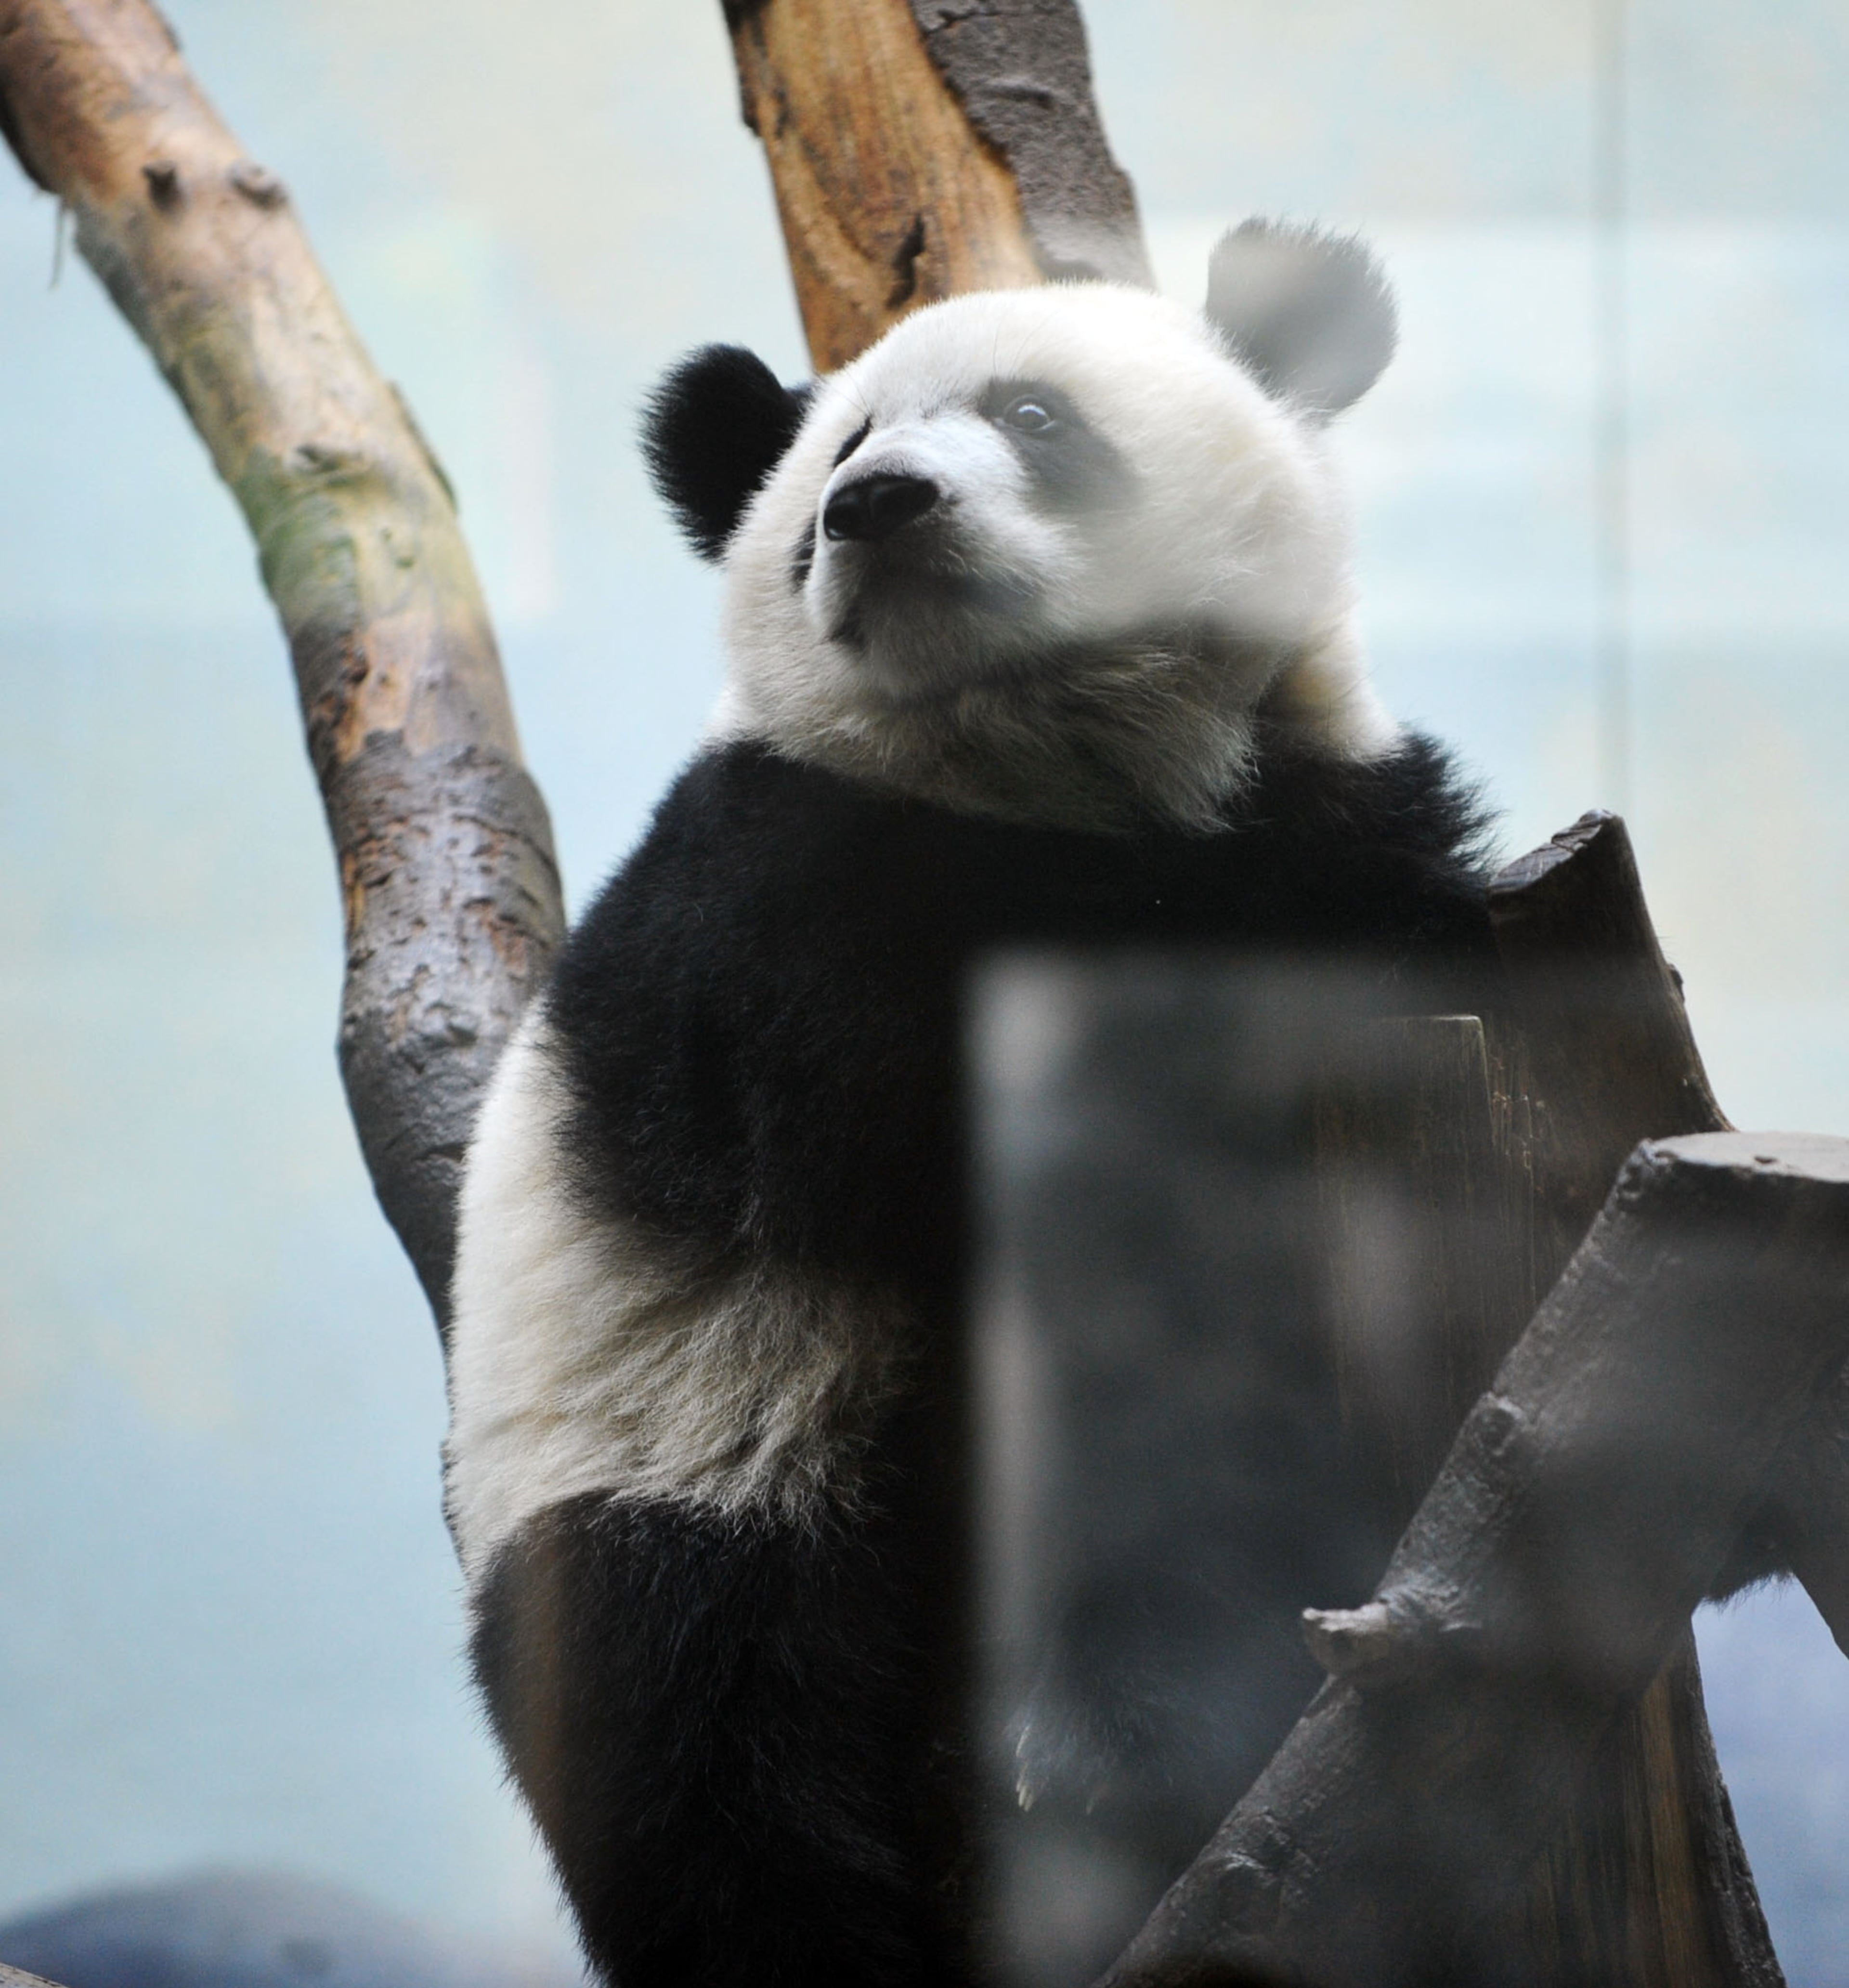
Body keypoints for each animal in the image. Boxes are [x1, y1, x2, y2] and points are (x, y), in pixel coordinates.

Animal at [444, 222, 1500, 1988]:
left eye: (1034, 415)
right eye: (839, 458)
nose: (878, 507)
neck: (1058, 767)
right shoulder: (775, 903)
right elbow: (916, 1127)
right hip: (682, 1460)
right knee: (717, 1745)